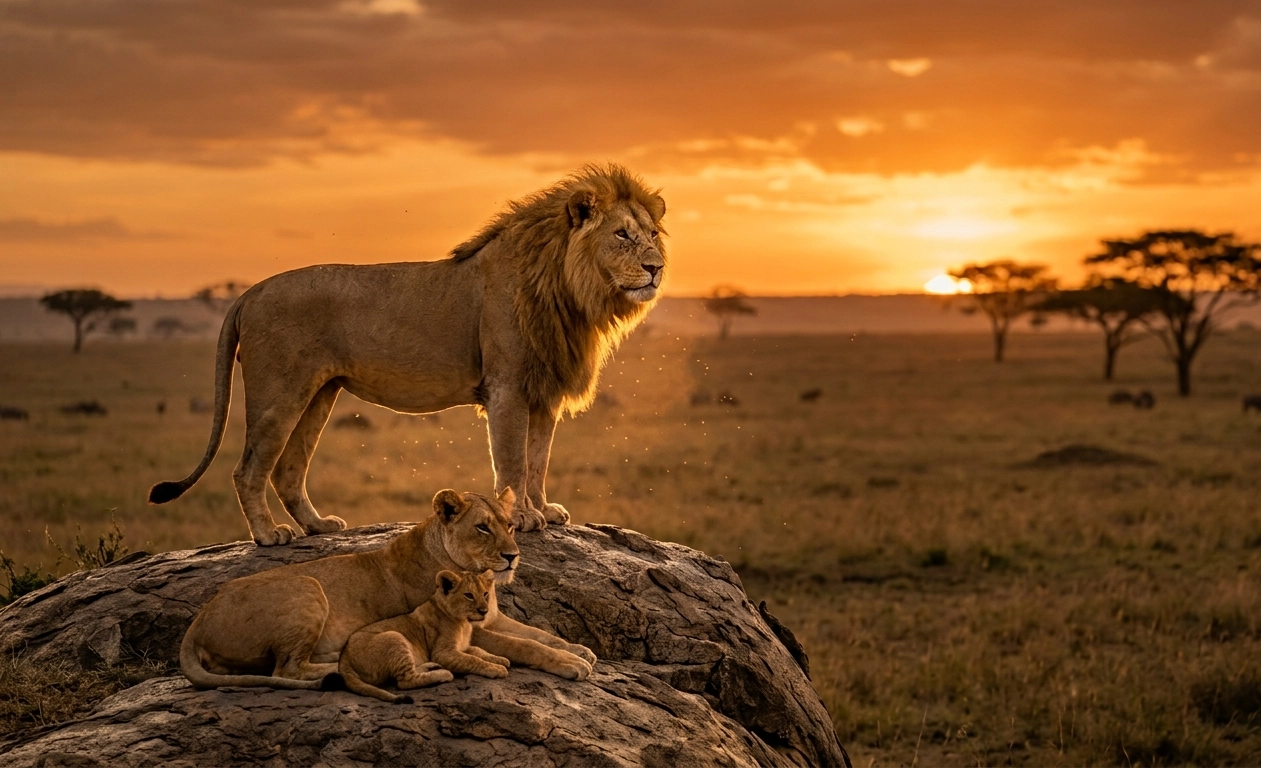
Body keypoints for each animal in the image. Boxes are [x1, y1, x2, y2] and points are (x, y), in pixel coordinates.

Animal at [149, 164, 666, 545]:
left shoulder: (544, 391)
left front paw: (543, 509)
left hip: (318, 394)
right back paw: (268, 535)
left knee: (288, 470)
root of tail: (249, 293)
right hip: (278, 393)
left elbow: (538, 459)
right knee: (249, 468)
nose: (656, 268)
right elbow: (513, 462)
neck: (569, 291)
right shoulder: (507, 388)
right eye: (622, 235)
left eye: (653, 234)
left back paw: (318, 527)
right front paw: (521, 516)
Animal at [180, 487, 594, 690]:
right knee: (285, 669)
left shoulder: (490, 618)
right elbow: (526, 646)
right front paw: (571, 664)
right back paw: (335, 665)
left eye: (510, 525)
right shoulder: (473, 627)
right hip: (307, 584)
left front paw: (578, 649)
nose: (513, 556)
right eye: (482, 527)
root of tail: (196, 624)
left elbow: (539, 634)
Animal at [338, 569, 511, 703]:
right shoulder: (443, 653)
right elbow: (472, 659)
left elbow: (478, 651)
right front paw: (495, 668)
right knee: (405, 681)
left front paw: (500, 659)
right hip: (394, 636)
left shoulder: (463, 647)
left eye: (485, 594)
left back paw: (430, 666)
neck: (463, 622)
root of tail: (344, 659)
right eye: (469, 595)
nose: (484, 611)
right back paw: (443, 674)